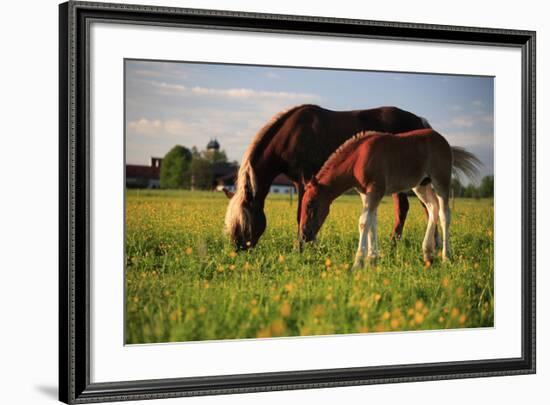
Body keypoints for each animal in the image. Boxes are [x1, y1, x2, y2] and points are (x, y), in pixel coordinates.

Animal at [224, 103, 436, 249]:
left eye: (243, 221)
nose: (237, 248)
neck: (291, 135)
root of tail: (420, 121)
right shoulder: (300, 182)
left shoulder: (305, 179)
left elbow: (302, 212)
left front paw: (302, 246)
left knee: (413, 208)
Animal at [302, 129, 484, 266]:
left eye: (310, 204)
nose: (304, 235)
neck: (359, 158)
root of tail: (445, 143)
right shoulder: (365, 194)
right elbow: (372, 222)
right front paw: (372, 259)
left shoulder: (375, 190)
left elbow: (363, 222)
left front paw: (358, 263)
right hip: (421, 185)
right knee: (433, 208)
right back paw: (427, 253)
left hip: (441, 181)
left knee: (444, 214)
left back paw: (446, 257)